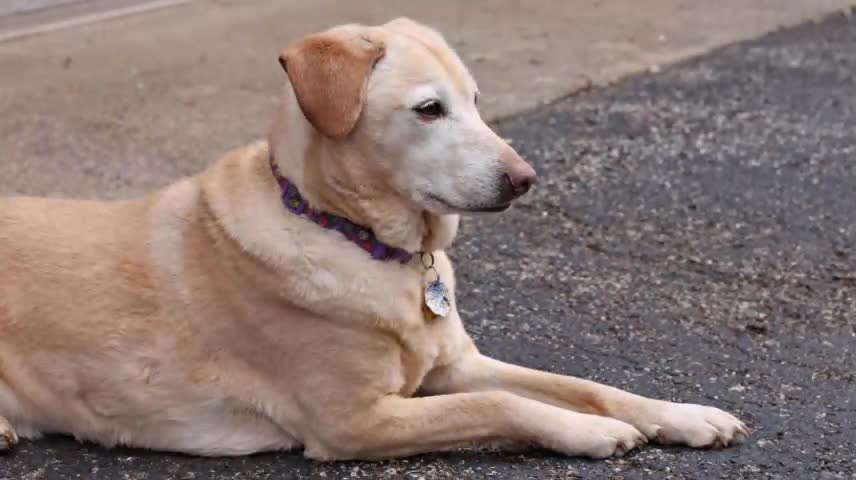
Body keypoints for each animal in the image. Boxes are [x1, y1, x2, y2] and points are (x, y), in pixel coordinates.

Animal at [0, 19, 748, 462]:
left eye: (476, 100)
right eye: (429, 109)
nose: (525, 178)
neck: (361, 240)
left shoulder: (454, 365)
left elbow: (585, 384)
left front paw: (681, 414)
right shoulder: (354, 420)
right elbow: (502, 403)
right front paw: (592, 433)